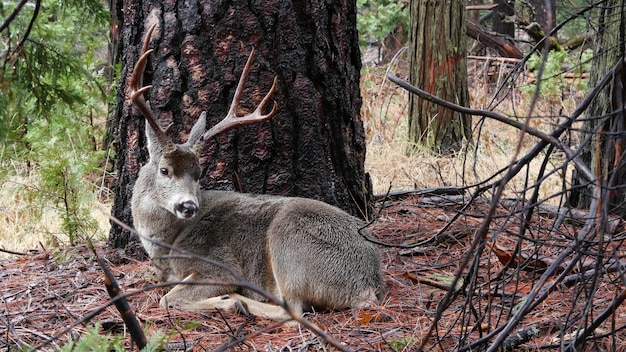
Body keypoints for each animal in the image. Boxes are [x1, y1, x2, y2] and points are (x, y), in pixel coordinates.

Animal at [127, 24, 382, 322]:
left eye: (199, 173)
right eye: (165, 170)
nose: (188, 205)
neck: (167, 245)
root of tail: (367, 284)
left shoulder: (220, 264)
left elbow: (166, 299)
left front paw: (225, 298)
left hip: (289, 239)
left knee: (292, 310)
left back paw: (237, 301)